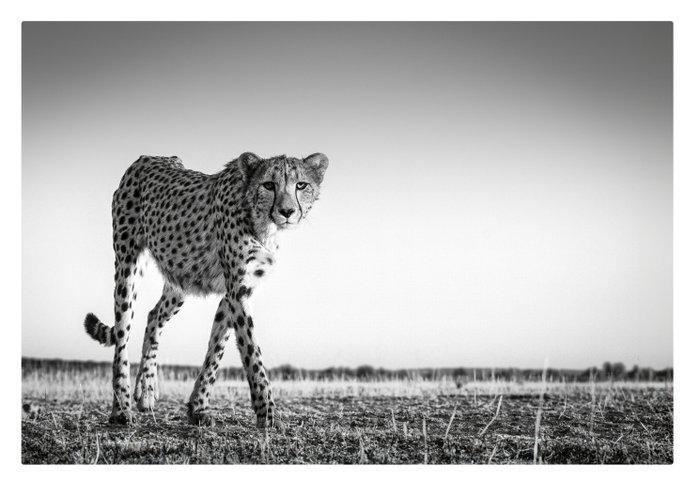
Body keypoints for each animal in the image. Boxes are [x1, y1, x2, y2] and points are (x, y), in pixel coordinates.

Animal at [83, 152, 329, 427]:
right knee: (122, 335)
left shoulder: (232, 292)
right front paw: (267, 413)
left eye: (301, 185)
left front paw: (198, 408)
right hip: (128, 263)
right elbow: (251, 351)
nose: (287, 211)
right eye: (268, 185)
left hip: (180, 278)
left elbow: (217, 349)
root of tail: (148, 157)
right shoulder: (238, 290)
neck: (262, 221)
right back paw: (121, 408)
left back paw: (146, 390)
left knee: (153, 316)